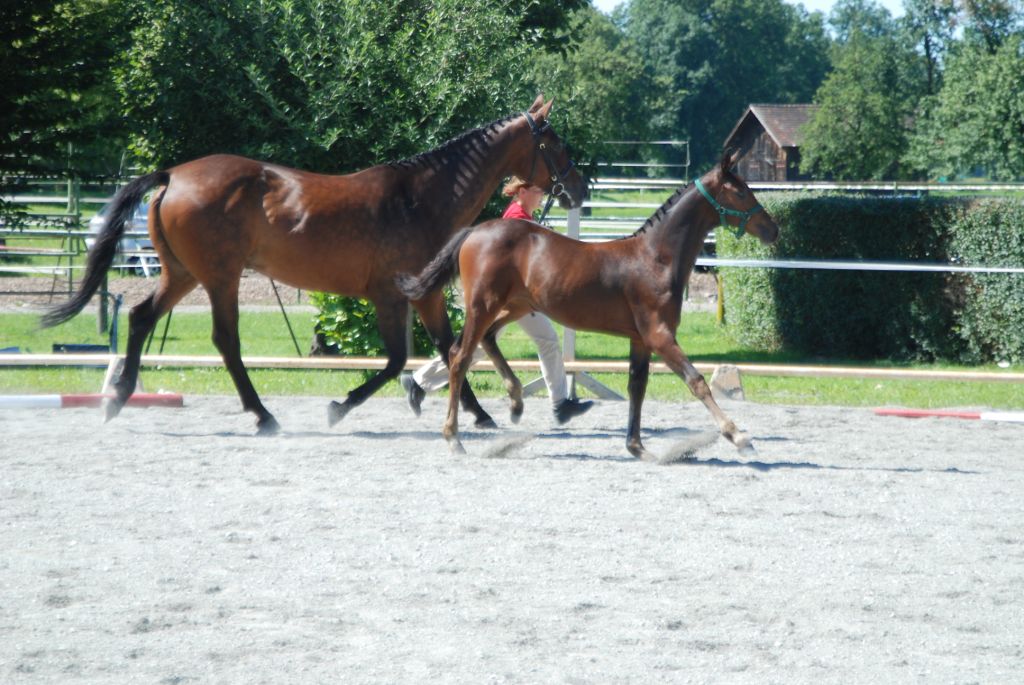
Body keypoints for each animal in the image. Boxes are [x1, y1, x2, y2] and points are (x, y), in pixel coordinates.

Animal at [42, 96, 586, 435]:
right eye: (554, 141)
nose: (580, 189)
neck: (421, 199)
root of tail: (173, 174)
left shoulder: (424, 295)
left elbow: (448, 348)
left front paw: (477, 414)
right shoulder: (395, 296)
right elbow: (400, 360)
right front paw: (340, 407)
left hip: (184, 274)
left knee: (140, 319)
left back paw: (117, 399)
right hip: (219, 277)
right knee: (225, 341)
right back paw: (262, 416)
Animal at [396, 149, 779, 459]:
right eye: (741, 191)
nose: (772, 228)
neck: (655, 258)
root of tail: (473, 232)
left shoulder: (641, 340)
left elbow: (637, 388)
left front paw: (637, 447)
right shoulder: (660, 336)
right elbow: (696, 381)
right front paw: (740, 437)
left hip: (513, 306)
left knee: (483, 343)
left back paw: (515, 401)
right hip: (483, 306)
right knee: (460, 357)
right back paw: (454, 438)